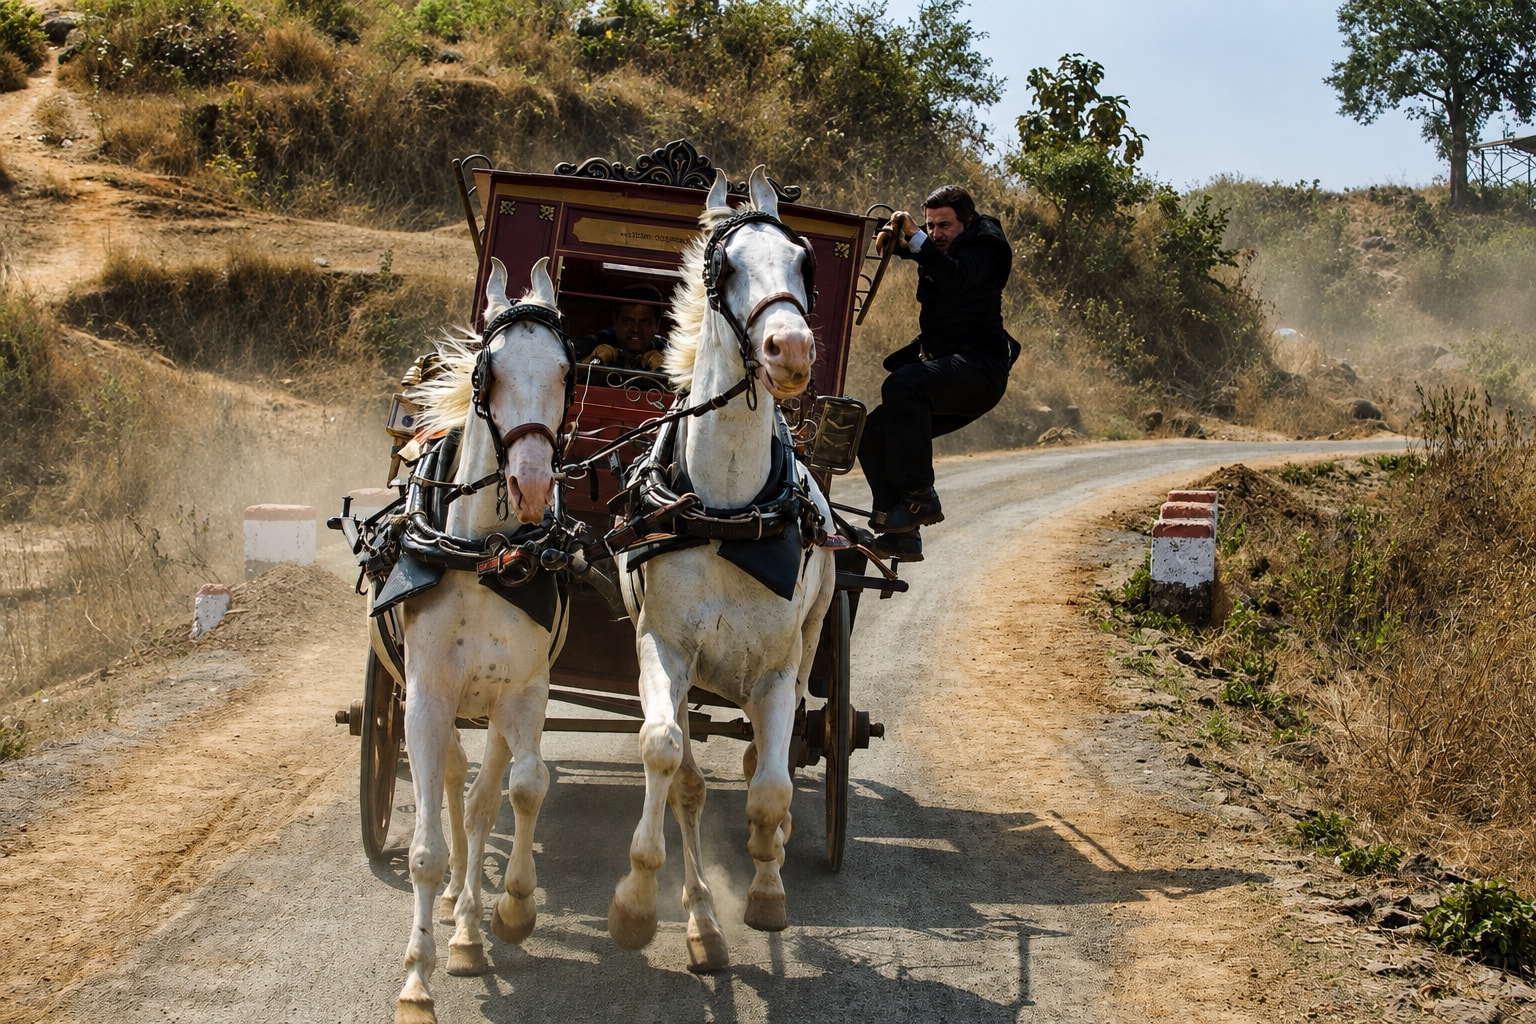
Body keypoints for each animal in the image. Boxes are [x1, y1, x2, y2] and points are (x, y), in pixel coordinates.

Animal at [608, 167, 837, 971]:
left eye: (805, 262)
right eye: (726, 269)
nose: (791, 349)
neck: (730, 512)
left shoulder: (774, 667)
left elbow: (770, 786)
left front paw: (767, 891)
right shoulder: (662, 647)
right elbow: (665, 756)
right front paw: (642, 902)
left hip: (809, 643)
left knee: (774, 761)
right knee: (689, 774)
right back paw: (702, 919)